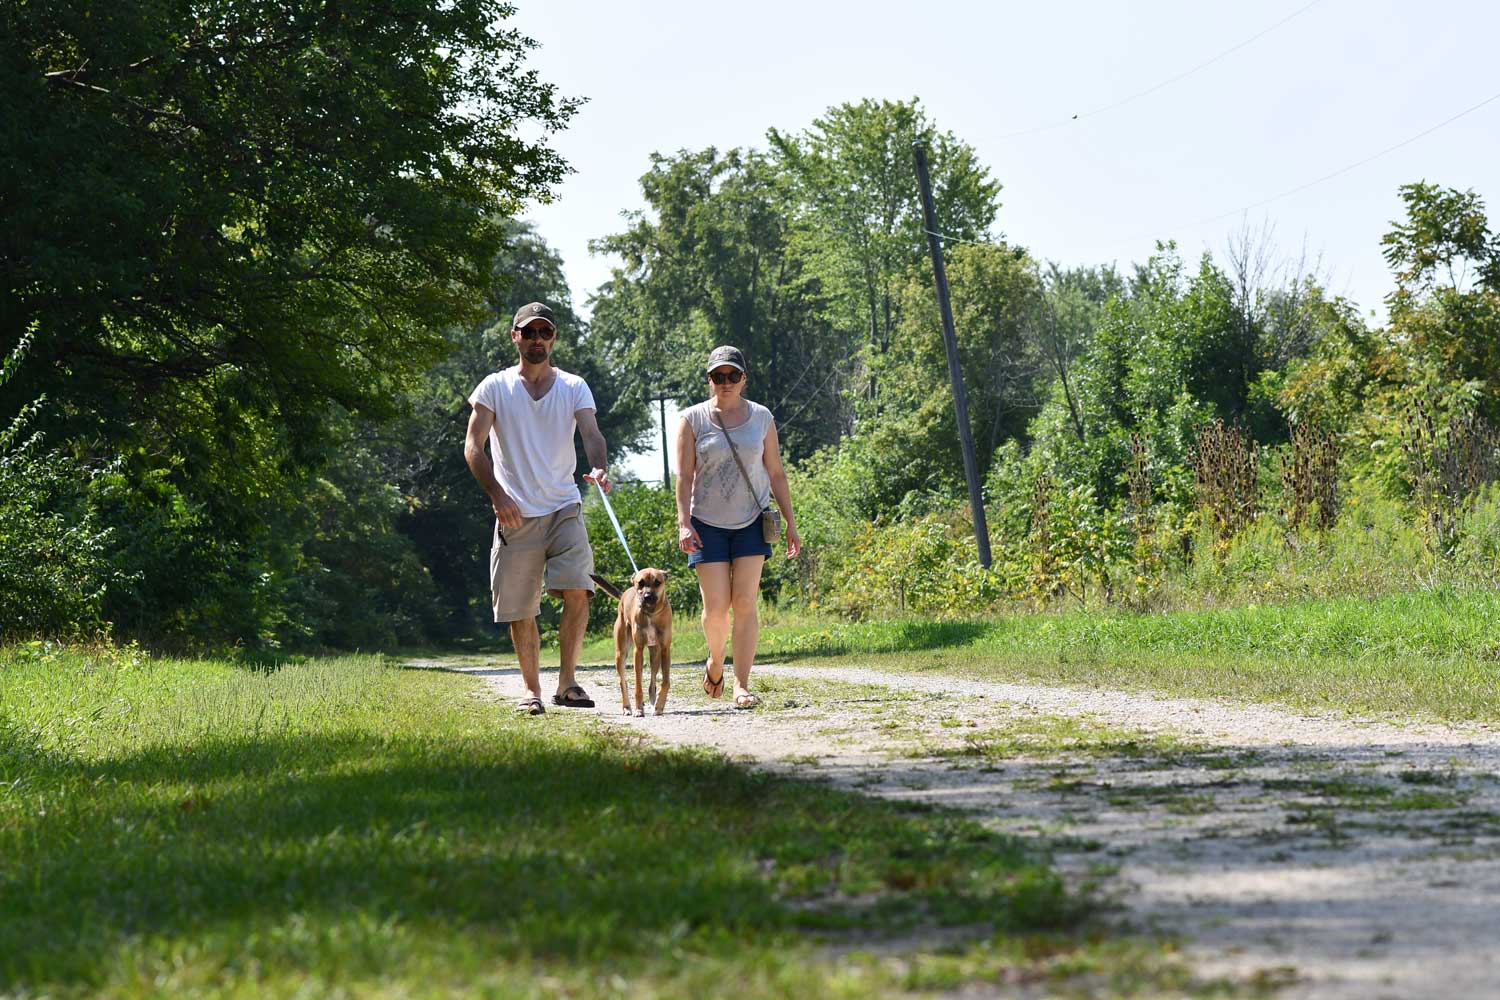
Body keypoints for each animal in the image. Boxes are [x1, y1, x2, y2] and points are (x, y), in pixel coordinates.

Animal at [591, 566, 675, 716]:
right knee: (622, 682)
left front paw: (659, 706)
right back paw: (627, 707)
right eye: (640, 583)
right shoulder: (638, 650)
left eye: (657, 582)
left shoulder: (665, 649)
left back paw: (652, 701)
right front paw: (639, 709)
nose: (647, 597)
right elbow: (638, 684)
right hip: (621, 652)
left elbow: (665, 681)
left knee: (653, 680)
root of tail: (624, 594)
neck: (651, 613)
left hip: (655, 654)